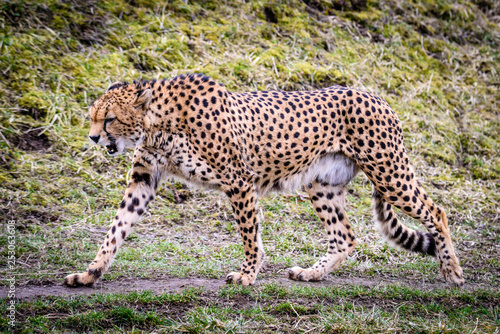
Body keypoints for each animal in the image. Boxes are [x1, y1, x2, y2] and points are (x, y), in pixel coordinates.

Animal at [63, 74, 464, 288]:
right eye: (93, 117)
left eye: (110, 119)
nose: (94, 138)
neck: (157, 124)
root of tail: (374, 94)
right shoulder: (143, 181)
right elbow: (115, 230)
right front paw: (90, 273)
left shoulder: (238, 180)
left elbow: (249, 235)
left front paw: (247, 275)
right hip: (322, 182)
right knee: (345, 236)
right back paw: (311, 273)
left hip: (389, 173)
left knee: (437, 211)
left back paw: (452, 272)